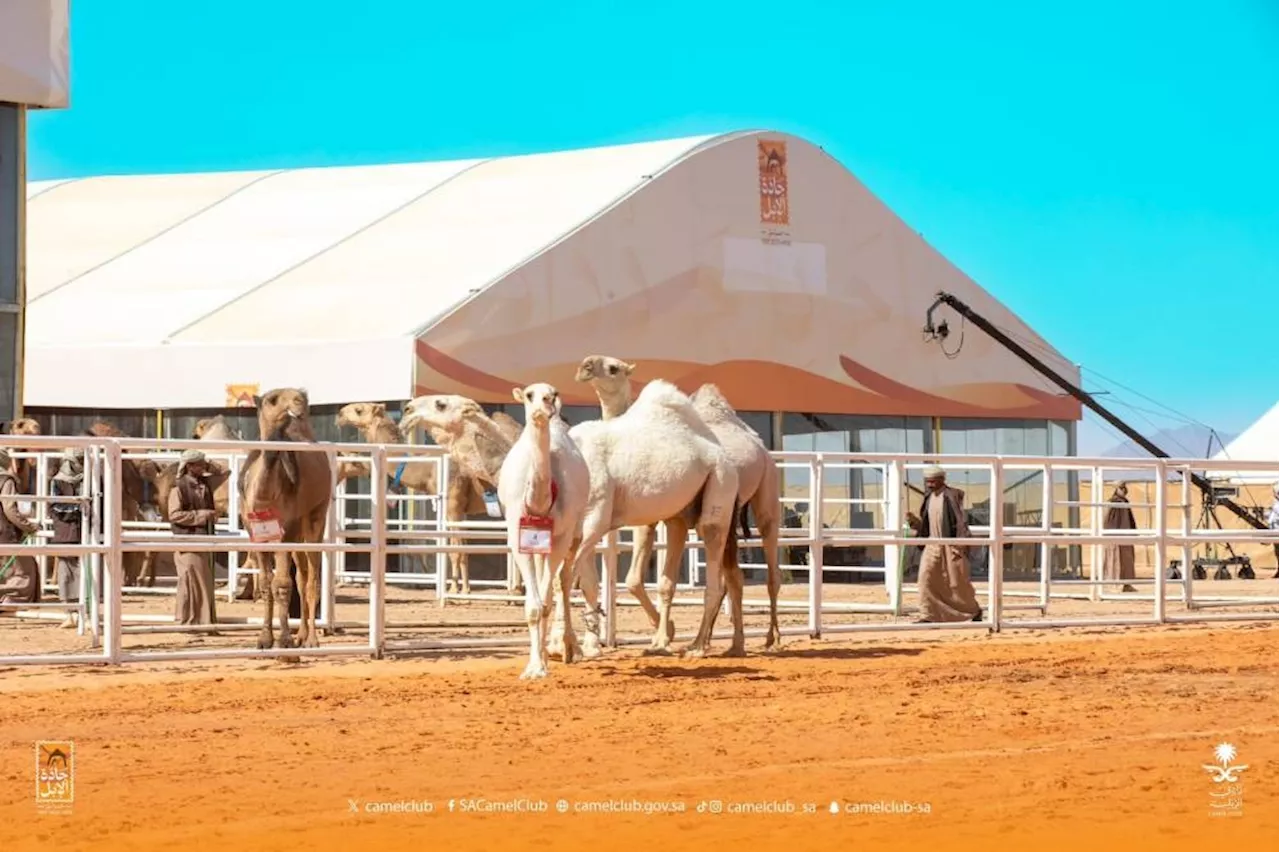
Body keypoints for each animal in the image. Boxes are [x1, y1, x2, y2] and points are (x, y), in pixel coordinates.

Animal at [238, 386, 332, 649]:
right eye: (272, 400)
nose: (300, 401)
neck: (263, 496)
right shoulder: (256, 535)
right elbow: (265, 583)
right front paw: (264, 638)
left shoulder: (284, 533)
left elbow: (281, 584)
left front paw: (284, 641)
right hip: (297, 532)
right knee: (302, 576)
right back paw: (301, 635)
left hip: (316, 517)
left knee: (311, 579)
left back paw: (310, 640)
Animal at [396, 394, 522, 593]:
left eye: (440, 404)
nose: (407, 410)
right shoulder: (458, 510)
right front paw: (463, 588)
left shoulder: (453, 506)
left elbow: (456, 551)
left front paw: (456, 589)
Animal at [496, 381, 591, 680]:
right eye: (529, 395)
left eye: (554, 392)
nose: (547, 403)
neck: (540, 501)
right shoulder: (519, 536)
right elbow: (533, 606)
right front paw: (534, 666)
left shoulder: (560, 536)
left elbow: (547, 600)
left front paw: (541, 664)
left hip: (575, 532)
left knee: (564, 580)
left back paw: (568, 648)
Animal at [563, 378, 747, 654]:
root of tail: (724, 457)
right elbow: (589, 581)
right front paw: (587, 646)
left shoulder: (595, 516)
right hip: (682, 512)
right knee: (723, 574)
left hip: (720, 488)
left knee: (715, 570)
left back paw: (696, 646)